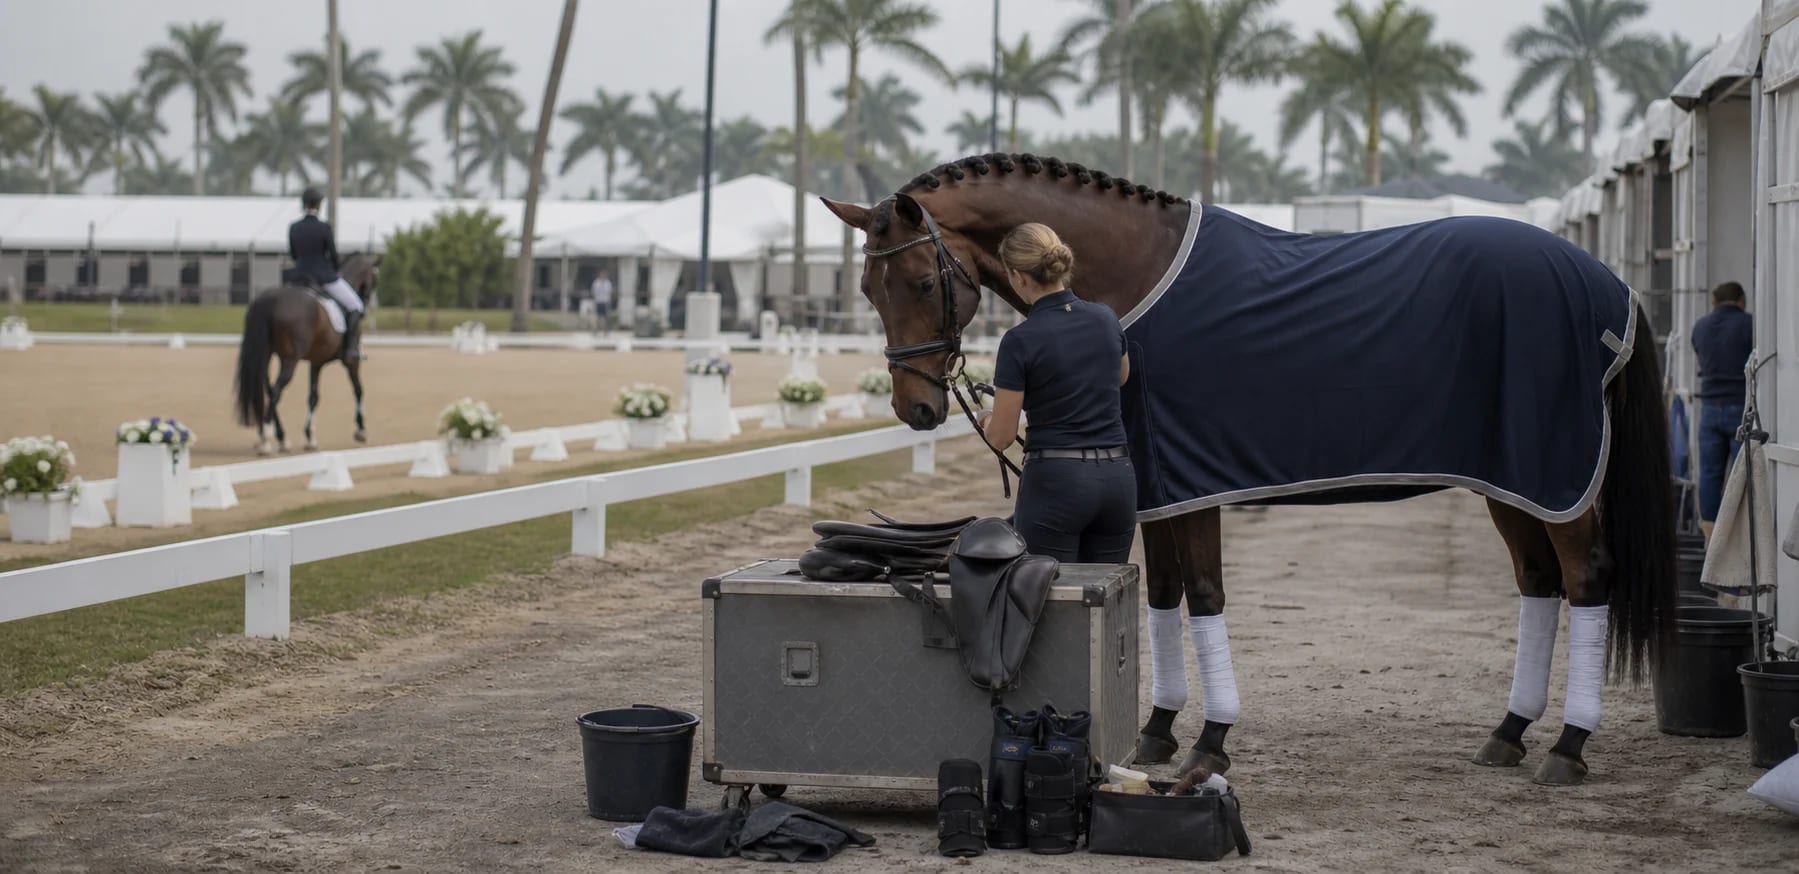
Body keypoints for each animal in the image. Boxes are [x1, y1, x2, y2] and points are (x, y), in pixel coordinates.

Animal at [232, 253, 379, 455]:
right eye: (375, 277)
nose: (366, 304)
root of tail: (270, 299)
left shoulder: (316, 362)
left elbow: (313, 397)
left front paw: (310, 438)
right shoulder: (351, 362)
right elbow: (358, 390)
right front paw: (361, 431)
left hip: (266, 355)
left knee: (269, 389)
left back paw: (281, 438)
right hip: (289, 359)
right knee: (277, 390)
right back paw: (266, 440)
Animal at [822, 153, 1674, 788]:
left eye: (922, 282)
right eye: (865, 287)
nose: (915, 409)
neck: (1135, 276)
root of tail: (1607, 285)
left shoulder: (1193, 483)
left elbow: (1203, 596)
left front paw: (1210, 742)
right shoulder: (1156, 489)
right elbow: (1159, 597)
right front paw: (1158, 732)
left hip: (1554, 473)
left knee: (1586, 578)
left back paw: (1566, 747)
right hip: (1511, 480)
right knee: (1539, 582)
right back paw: (1508, 732)